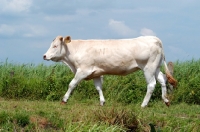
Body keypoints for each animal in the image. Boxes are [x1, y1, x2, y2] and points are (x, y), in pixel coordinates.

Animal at [43, 35, 177, 108]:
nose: (44, 56)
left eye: (55, 46)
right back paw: (166, 100)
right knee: (162, 79)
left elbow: (72, 84)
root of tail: (154, 38)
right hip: (156, 67)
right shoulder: (95, 73)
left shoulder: (83, 70)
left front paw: (64, 100)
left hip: (148, 68)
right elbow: (98, 88)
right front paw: (102, 102)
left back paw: (143, 105)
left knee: (151, 84)